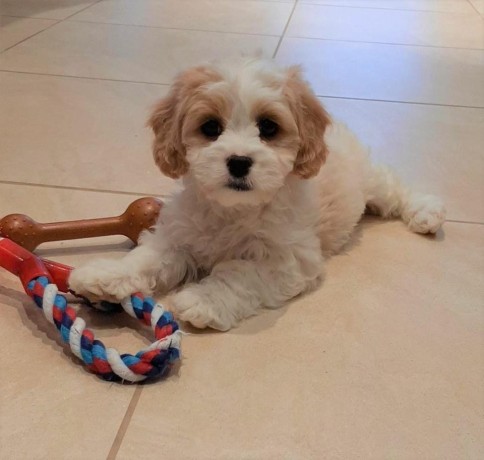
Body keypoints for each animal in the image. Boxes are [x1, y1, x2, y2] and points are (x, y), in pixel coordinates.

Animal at [69, 57, 446, 330]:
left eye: (268, 127)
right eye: (210, 127)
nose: (238, 162)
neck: (234, 209)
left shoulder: (288, 259)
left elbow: (239, 273)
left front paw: (204, 300)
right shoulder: (178, 234)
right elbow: (149, 257)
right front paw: (105, 276)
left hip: (370, 181)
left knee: (394, 189)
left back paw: (426, 211)